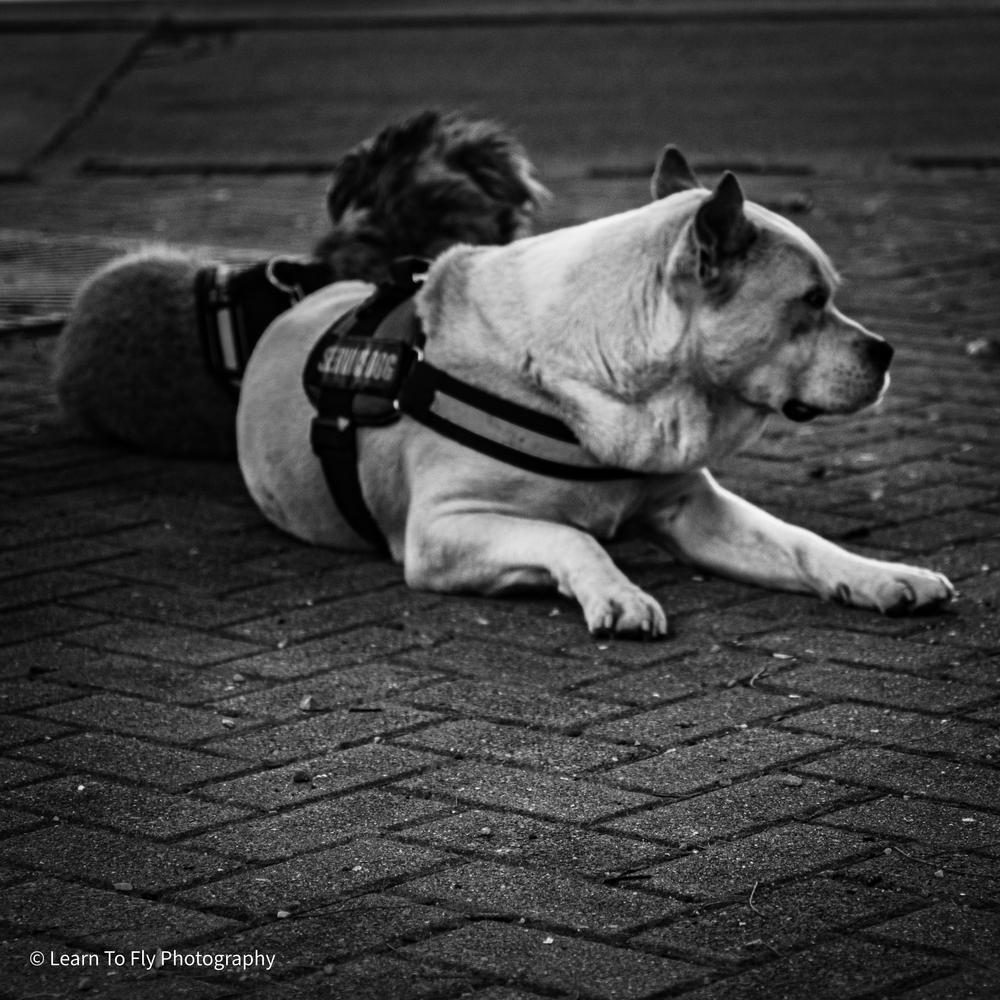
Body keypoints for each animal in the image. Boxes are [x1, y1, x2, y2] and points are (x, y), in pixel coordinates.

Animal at [236, 143, 954, 635]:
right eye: (810, 300)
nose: (887, 352)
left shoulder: (693, 508)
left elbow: (802, 542)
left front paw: (881, 576)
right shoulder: (441, 532)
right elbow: (569, 537)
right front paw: (619, 592)